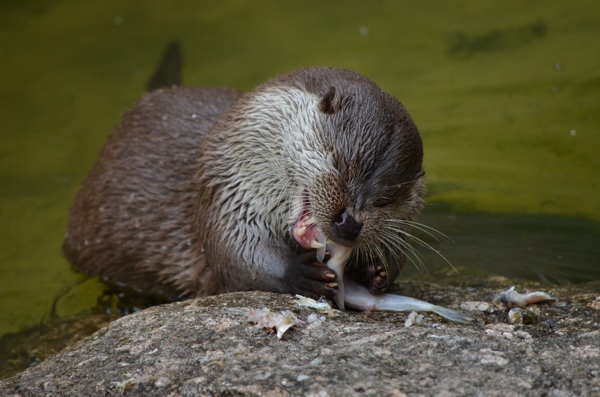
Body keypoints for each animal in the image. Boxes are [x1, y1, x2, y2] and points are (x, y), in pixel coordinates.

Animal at [64, 67, 468, 322]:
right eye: (339, 163)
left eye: (386, 198)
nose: (349, 223)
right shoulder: (228, 190)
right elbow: (235, 256)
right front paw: (301, 273)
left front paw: (375, 272)